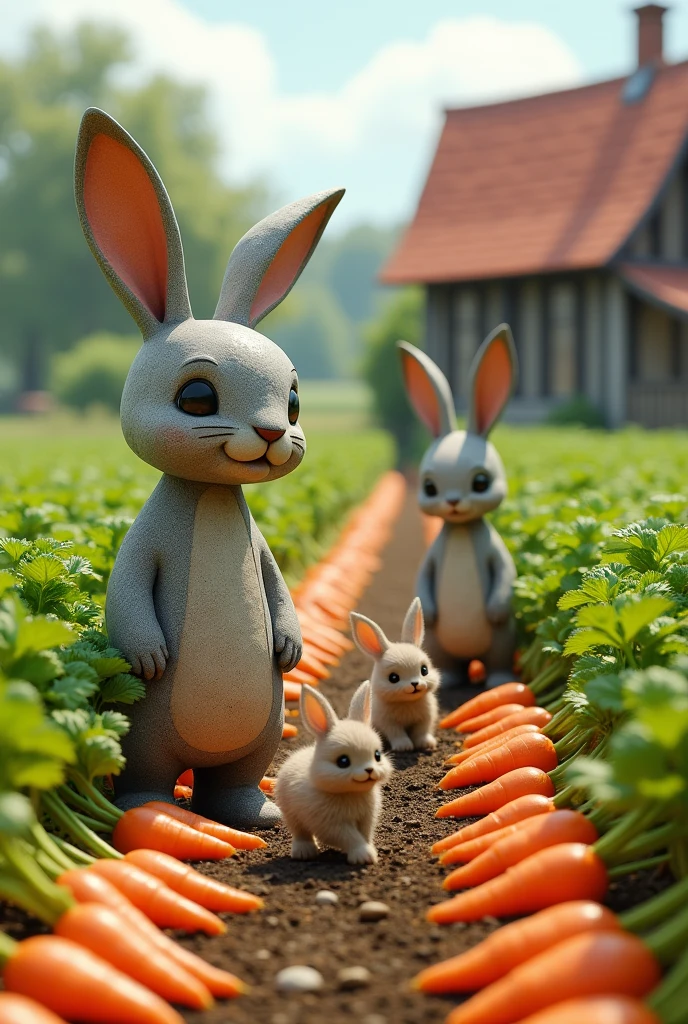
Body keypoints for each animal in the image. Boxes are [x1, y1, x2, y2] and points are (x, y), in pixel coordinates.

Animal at [276, 679, 393, 864]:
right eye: (343, 762)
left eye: (377, 755)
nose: (369, 770)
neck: (350, 793)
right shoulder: (331, 825)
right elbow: (350, 837)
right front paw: (364, 856)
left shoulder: (366, 819)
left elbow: (364, 835)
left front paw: (369, 852)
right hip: (290, 812)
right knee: (300, 832)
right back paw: (304, 852)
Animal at [352, 598, 438, 753]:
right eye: (393, 678)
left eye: (424, 670)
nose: (415, 684)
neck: (407, 702)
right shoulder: (388, 723)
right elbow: (397, 733)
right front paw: (404, 747)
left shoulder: (426, 718)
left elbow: (422, 731)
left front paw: (427, 744)